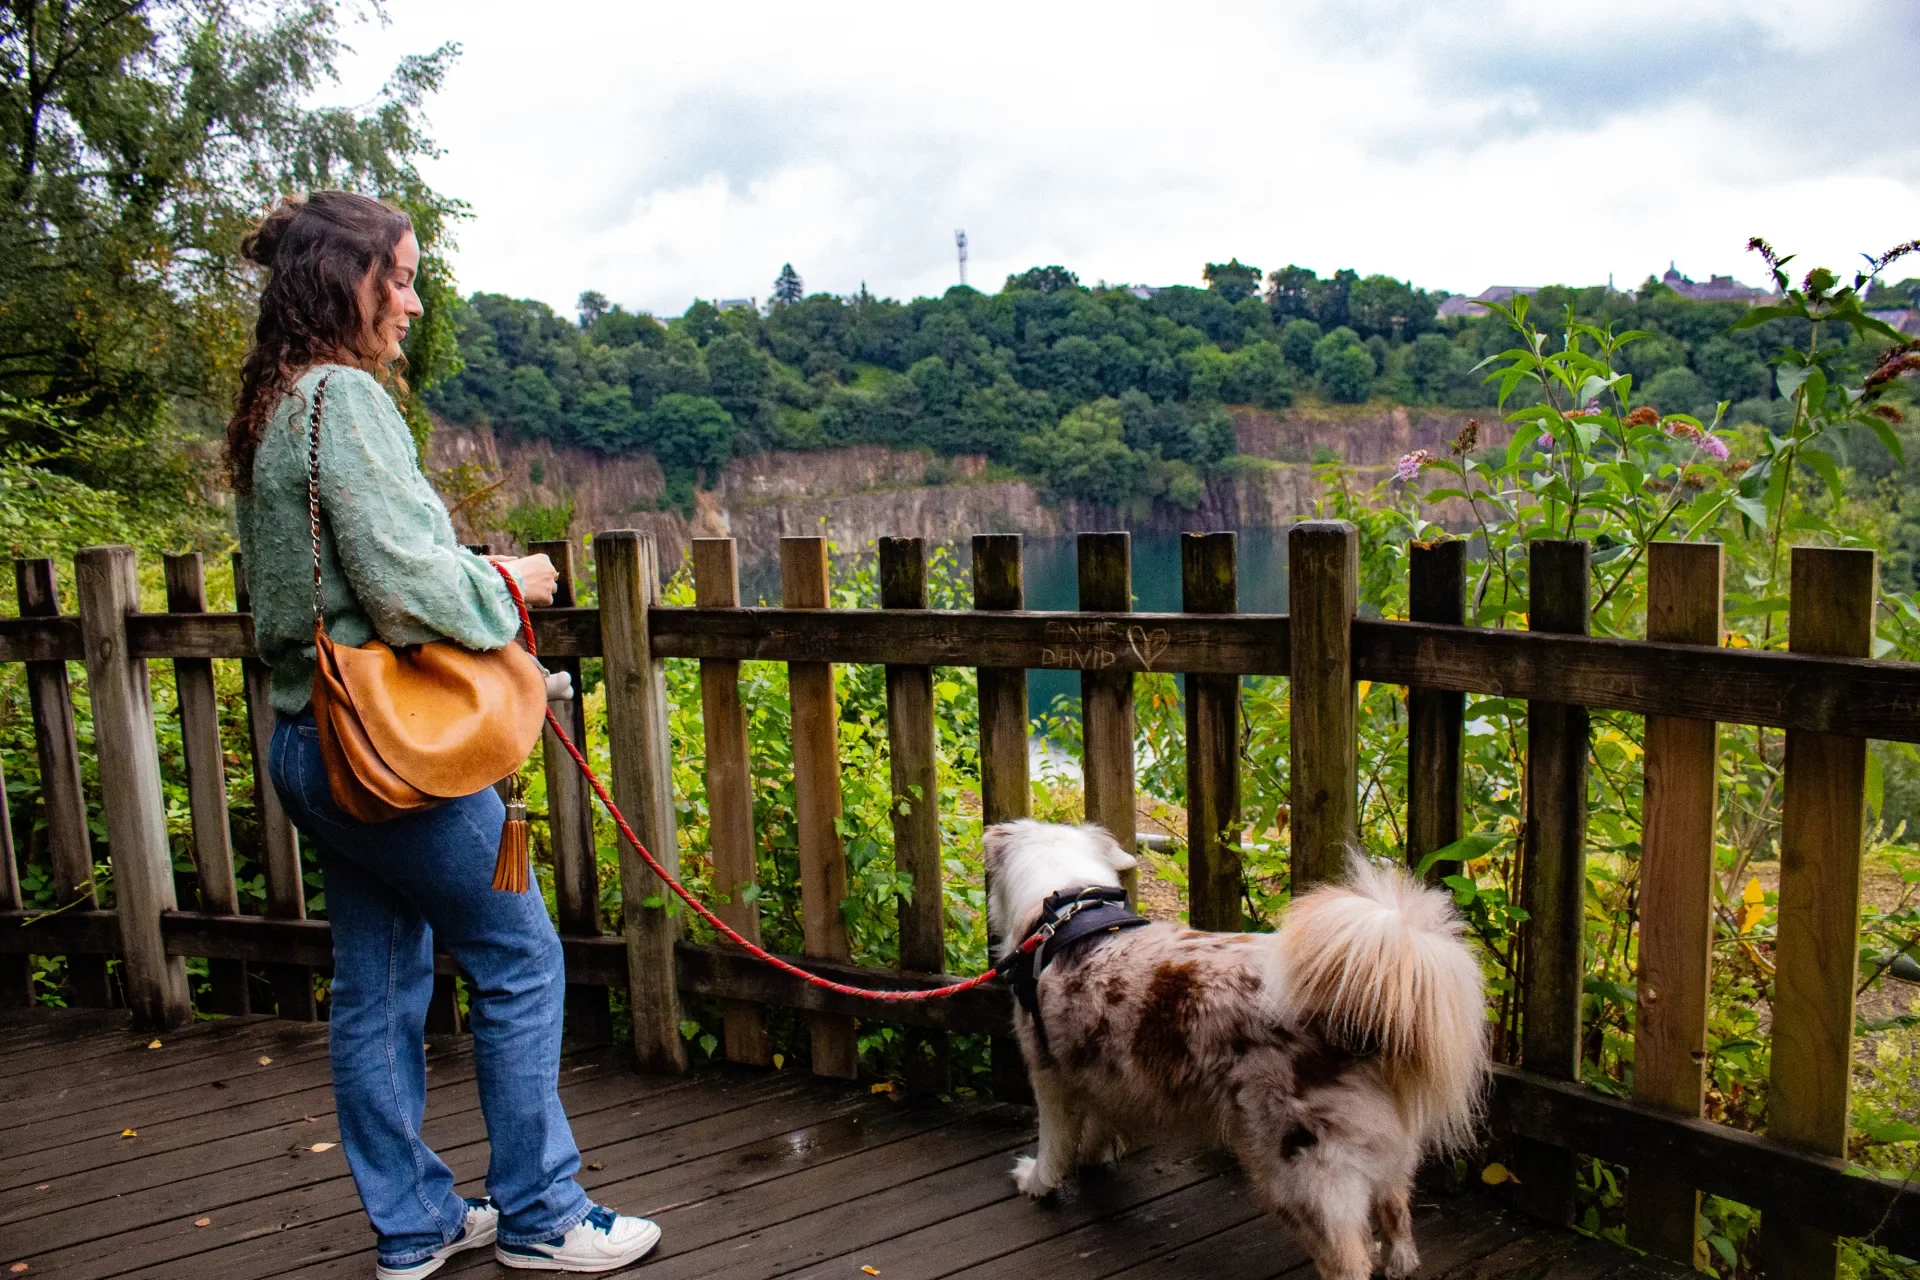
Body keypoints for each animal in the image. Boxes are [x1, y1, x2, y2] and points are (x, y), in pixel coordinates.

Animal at [990, 821, 1482, 1280]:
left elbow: (1053, 1145)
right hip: (1390, 1154)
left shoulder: (1047, 1076)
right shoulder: (1097, 1071)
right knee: (1396, 1212)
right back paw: (1399, 1261)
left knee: (1347, 1260)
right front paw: (1096, 1154)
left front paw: (1035, 1181)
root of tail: (1357, 1020)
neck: (1067, 911)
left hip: (1298, 1169)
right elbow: (1097, 1121)